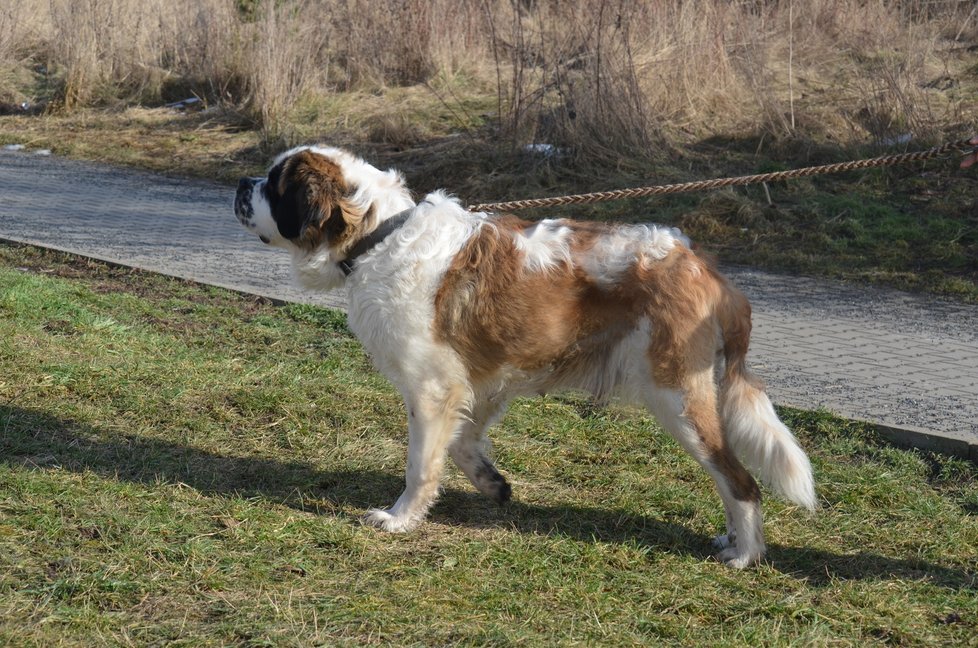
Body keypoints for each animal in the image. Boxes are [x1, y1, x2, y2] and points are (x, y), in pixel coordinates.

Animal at [233, 147, 812, 568]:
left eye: (274, 184)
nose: (241, 183)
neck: (380, 235)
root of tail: (705, 269)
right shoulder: (482, 381)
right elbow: (462, 444)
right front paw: (492, 483)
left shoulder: (431, 388)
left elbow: (420, 465)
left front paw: (400, 519)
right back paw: (733, 543)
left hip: (678, 400)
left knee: (739, 481)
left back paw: (745, 554)